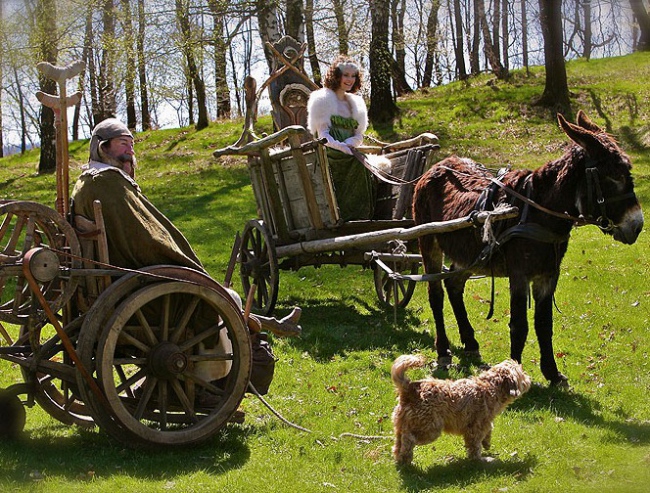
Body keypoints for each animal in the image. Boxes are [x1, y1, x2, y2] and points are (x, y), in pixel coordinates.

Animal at [390, 356, 528, 464]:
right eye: (522, 373)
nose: (528, 378)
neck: (491, 386)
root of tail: (409, 389)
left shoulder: (483, 422)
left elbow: (488, 429)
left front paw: (487, 442)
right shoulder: (475, 427)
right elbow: (475, 446)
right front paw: (480, 459)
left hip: (403, 423)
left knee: (398, 442)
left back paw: (400, 458)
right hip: (430, 428)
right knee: (408, 438)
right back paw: (406, 457)